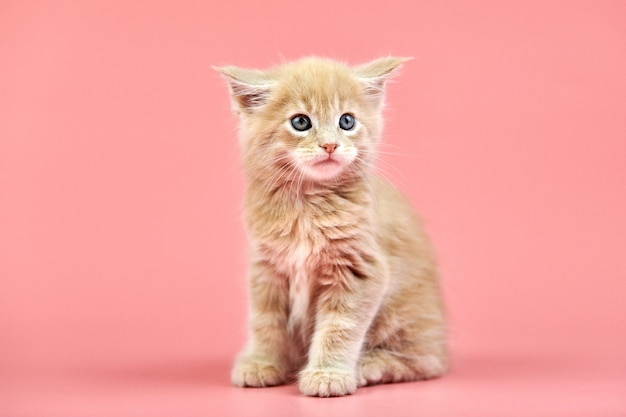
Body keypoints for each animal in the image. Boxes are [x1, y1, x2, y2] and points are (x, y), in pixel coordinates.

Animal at [217, 57, 446, 394]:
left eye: (346, 121)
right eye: (300, 122)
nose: (329, 145)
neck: (306, 206)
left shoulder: (360, 269)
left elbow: (339, 327)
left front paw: (328, 374)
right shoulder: (266, 270)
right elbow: (265, 322)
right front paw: (261, 363)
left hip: (406, 317)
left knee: (426, 361)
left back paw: (367, 365)